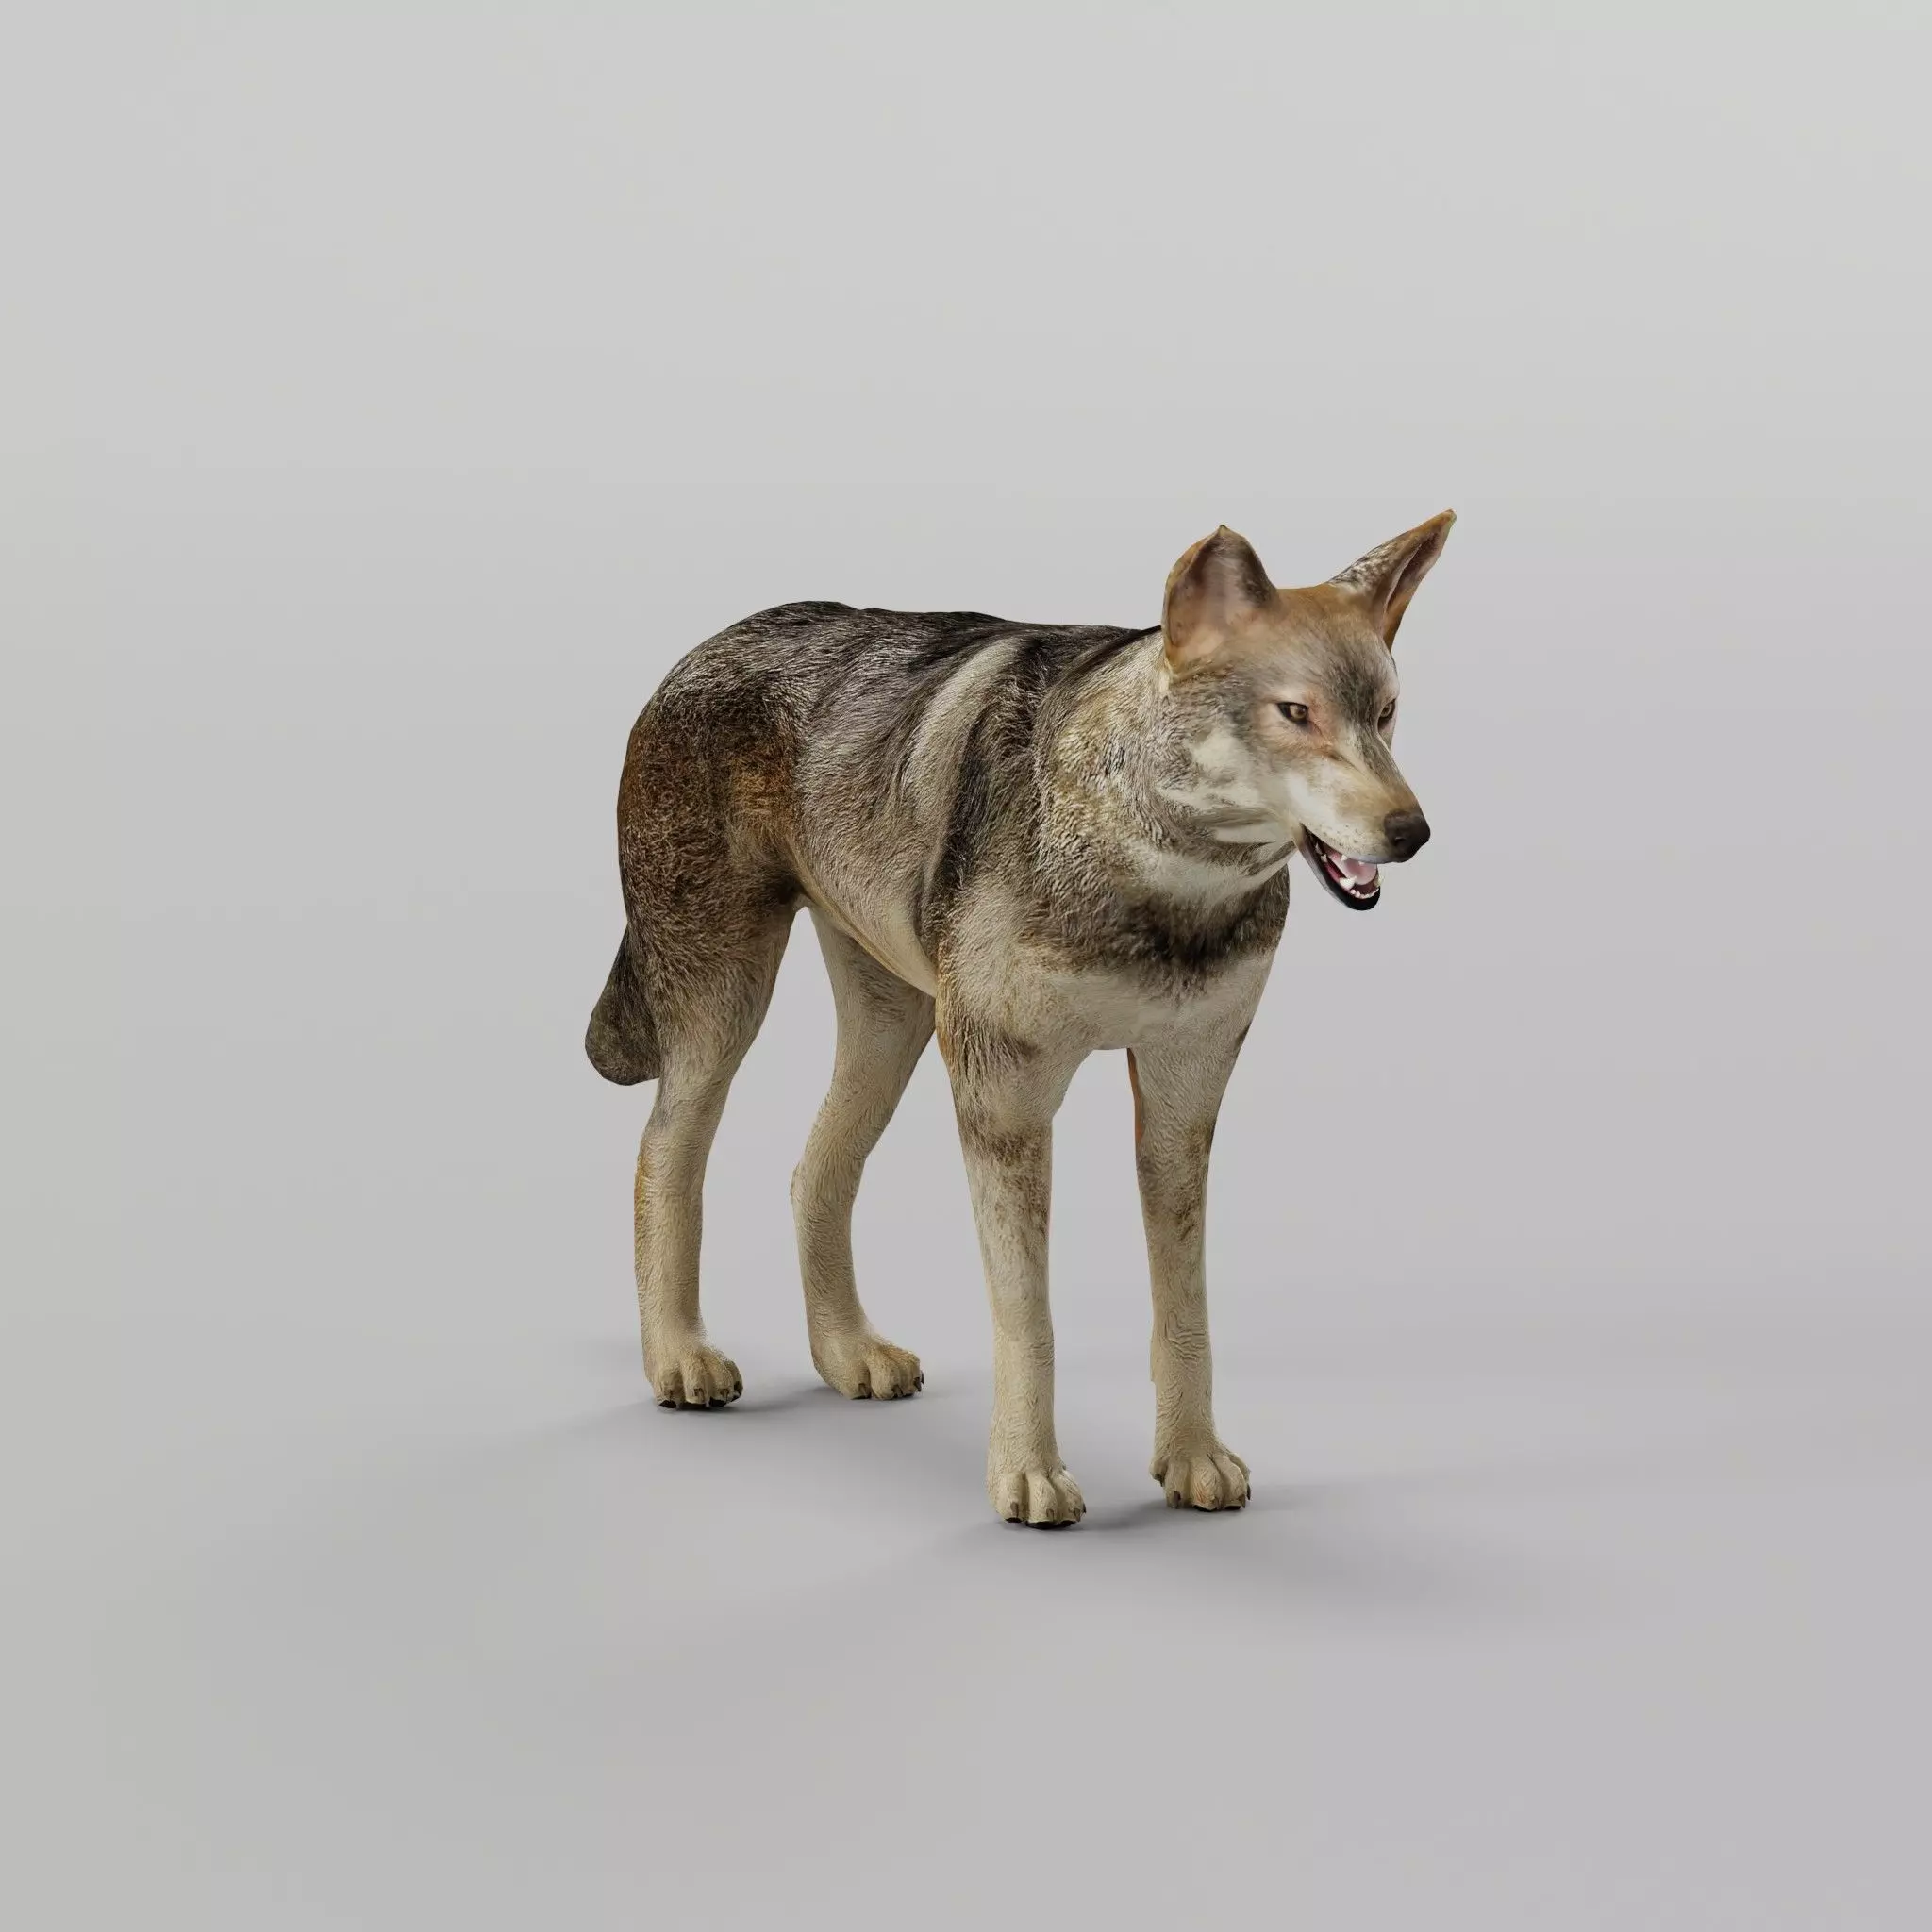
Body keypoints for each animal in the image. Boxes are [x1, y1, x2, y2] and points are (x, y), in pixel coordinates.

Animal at [587, 512, 1453, 1524]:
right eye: (1297, 714)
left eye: (1384, 714)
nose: (1411, 833)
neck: (1156, 876)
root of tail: (705, 646)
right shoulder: (1006, 1098)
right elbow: (1028, 1316)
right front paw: (1028, 1476)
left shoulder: (1183, 1097)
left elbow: (1186, 1308)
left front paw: (1192, 1459)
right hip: (728, 1007)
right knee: (664, 1155)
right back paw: (680, 1357)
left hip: (894, 1028)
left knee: (813, 1172)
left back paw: (847, 1353)